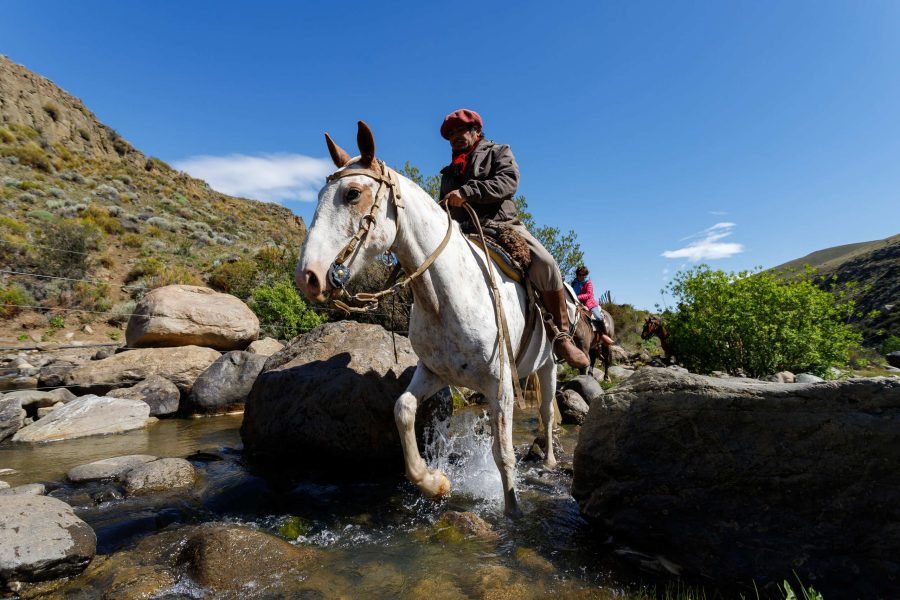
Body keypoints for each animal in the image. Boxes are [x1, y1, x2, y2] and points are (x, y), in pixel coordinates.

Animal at [296, 120, 568, 516]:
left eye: (352, 193)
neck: (446, 296)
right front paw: (434, 483)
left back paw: (548, 461)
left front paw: (513, 511)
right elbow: (403, 409)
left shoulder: (500, 384)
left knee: (547, 413)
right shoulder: (435, 372)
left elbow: (503, 454)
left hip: (548, 365)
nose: (308, 277)